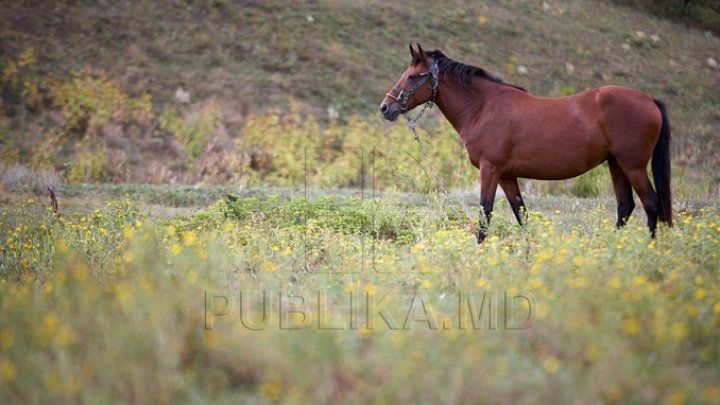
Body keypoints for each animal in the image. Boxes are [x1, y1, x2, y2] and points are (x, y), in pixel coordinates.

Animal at [380, 45, 672, 240]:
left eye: (412, 76)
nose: (385, 108)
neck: (483, 107)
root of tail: (650, 100)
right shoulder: (507, 175)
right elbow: (521, 213)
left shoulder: (490, 169)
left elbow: (485, 212)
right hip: (616, 164)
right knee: (625, 206)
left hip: (632, 165)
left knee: (651, 203)